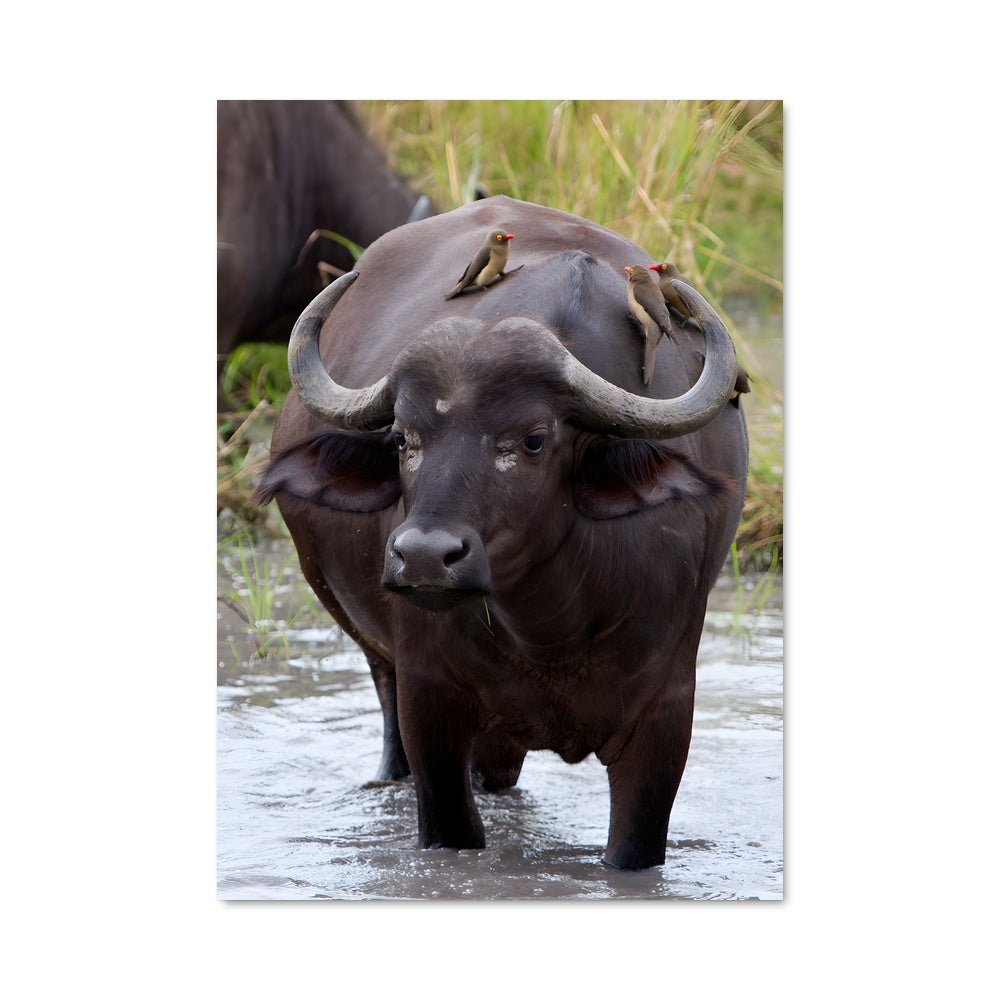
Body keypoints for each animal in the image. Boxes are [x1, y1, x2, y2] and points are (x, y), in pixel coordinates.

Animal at [252, 195, 749, 871]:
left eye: (534, 439)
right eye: (402, 438)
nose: (424, 557)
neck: (551, 626)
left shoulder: (666, 718)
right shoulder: (430, 703)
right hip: (378, 659)